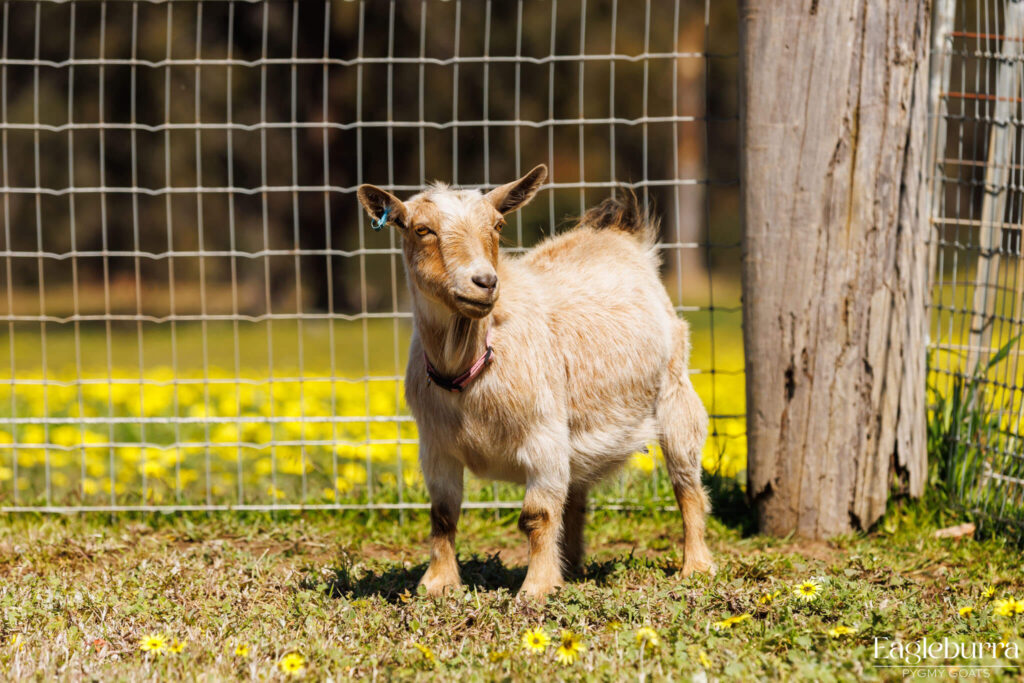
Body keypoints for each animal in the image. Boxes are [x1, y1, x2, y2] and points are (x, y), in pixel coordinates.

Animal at [357, 165, 712, 599]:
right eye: (422, 229)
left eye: (497, 225)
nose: (484, 282)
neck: (469, 367)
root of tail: (620, 234)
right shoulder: (436, 446)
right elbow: (443, 514)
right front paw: (437, 583)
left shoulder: (543, 435)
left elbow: (537, 514)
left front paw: (537, 588)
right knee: (575, 495)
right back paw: (570, 565)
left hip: (676, 396)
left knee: (687, 485)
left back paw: (696, 567)